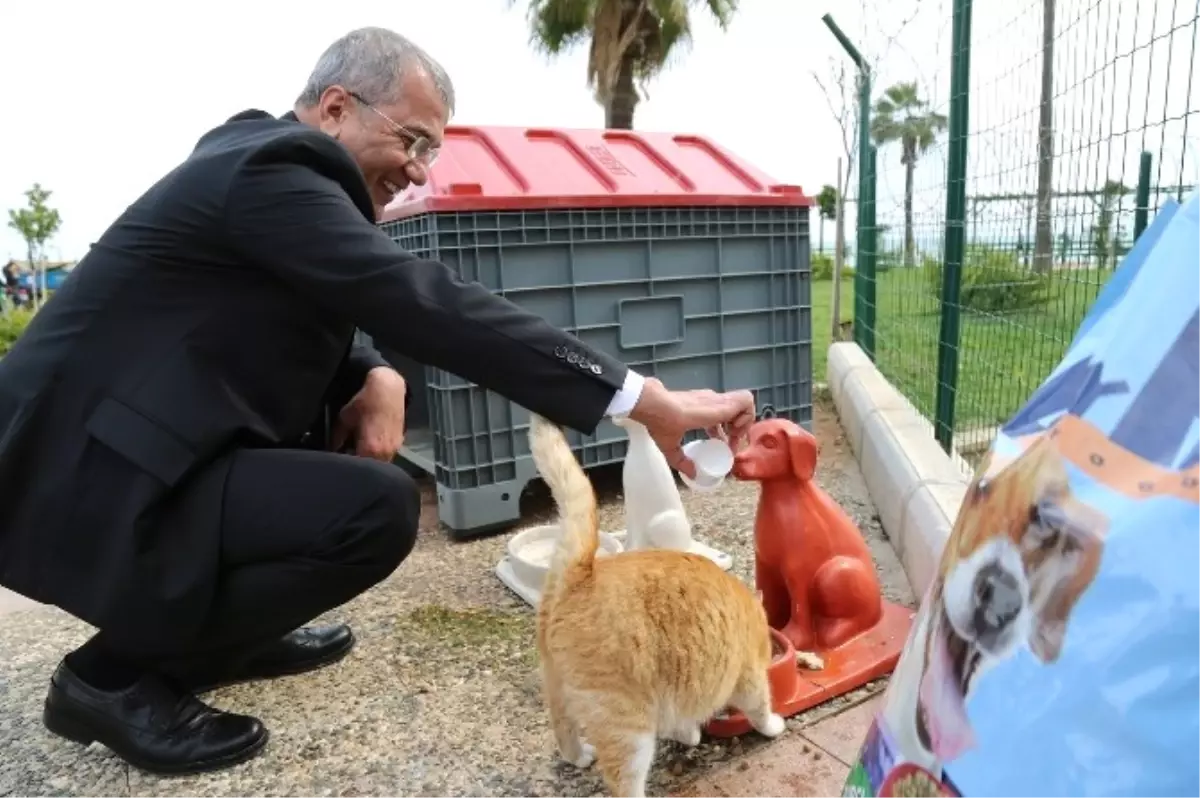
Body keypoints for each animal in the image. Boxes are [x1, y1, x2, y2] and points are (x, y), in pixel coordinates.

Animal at [528, 412, 787, 792]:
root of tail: (580, 574)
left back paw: (579, 756)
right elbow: (760, 709)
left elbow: (684, 723)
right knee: (625, 782)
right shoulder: (749, 678)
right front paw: (772, 725)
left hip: (557, 688)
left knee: (564, 733)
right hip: (628, 728)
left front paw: (689, 734)